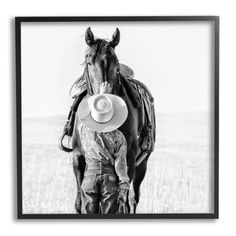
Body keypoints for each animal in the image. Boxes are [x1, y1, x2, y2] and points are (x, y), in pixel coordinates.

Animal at [70, 27, 155, 214]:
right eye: (89, 62)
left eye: (116, 64)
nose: (103, 102)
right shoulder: (78, 157)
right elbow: (80, 202)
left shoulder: (128, 159)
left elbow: (121, 203)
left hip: (142, 163)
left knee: (132, 199)